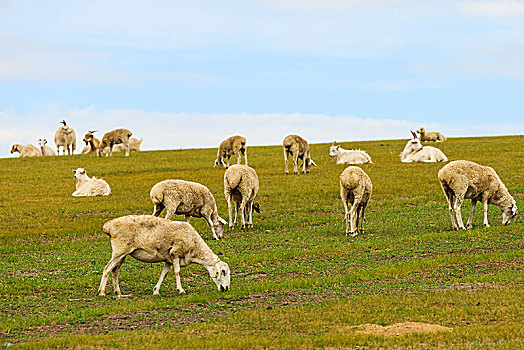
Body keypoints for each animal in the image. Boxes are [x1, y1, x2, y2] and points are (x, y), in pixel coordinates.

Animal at [98, 215, 229, 296]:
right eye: (223, 272)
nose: (226, 288)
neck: (195, 246)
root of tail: (108, 226)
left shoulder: (168, 259)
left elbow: (164, 273)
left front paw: (156, 291)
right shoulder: (175, 253)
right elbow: (177, 271)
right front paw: (181, 290)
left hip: (123, 254)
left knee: (114, 270)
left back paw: (118, 292)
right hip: (119, 251)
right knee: (107, 268)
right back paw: (102, 292)